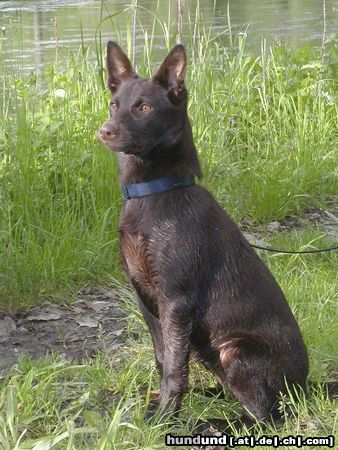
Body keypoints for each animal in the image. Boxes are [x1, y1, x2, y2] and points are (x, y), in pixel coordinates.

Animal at [96, 42, 308, 426]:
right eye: (114, 105)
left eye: (145, 107)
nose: (104, 131)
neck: (154, 192)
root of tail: (307, 386)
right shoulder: (145, 299)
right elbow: (163, 359)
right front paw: (162, 406)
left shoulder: (176, 301)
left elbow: (174, 369)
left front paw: (164, 419)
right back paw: (206, 397)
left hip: (235, 352)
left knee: (265, 417)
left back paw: (209, 422)